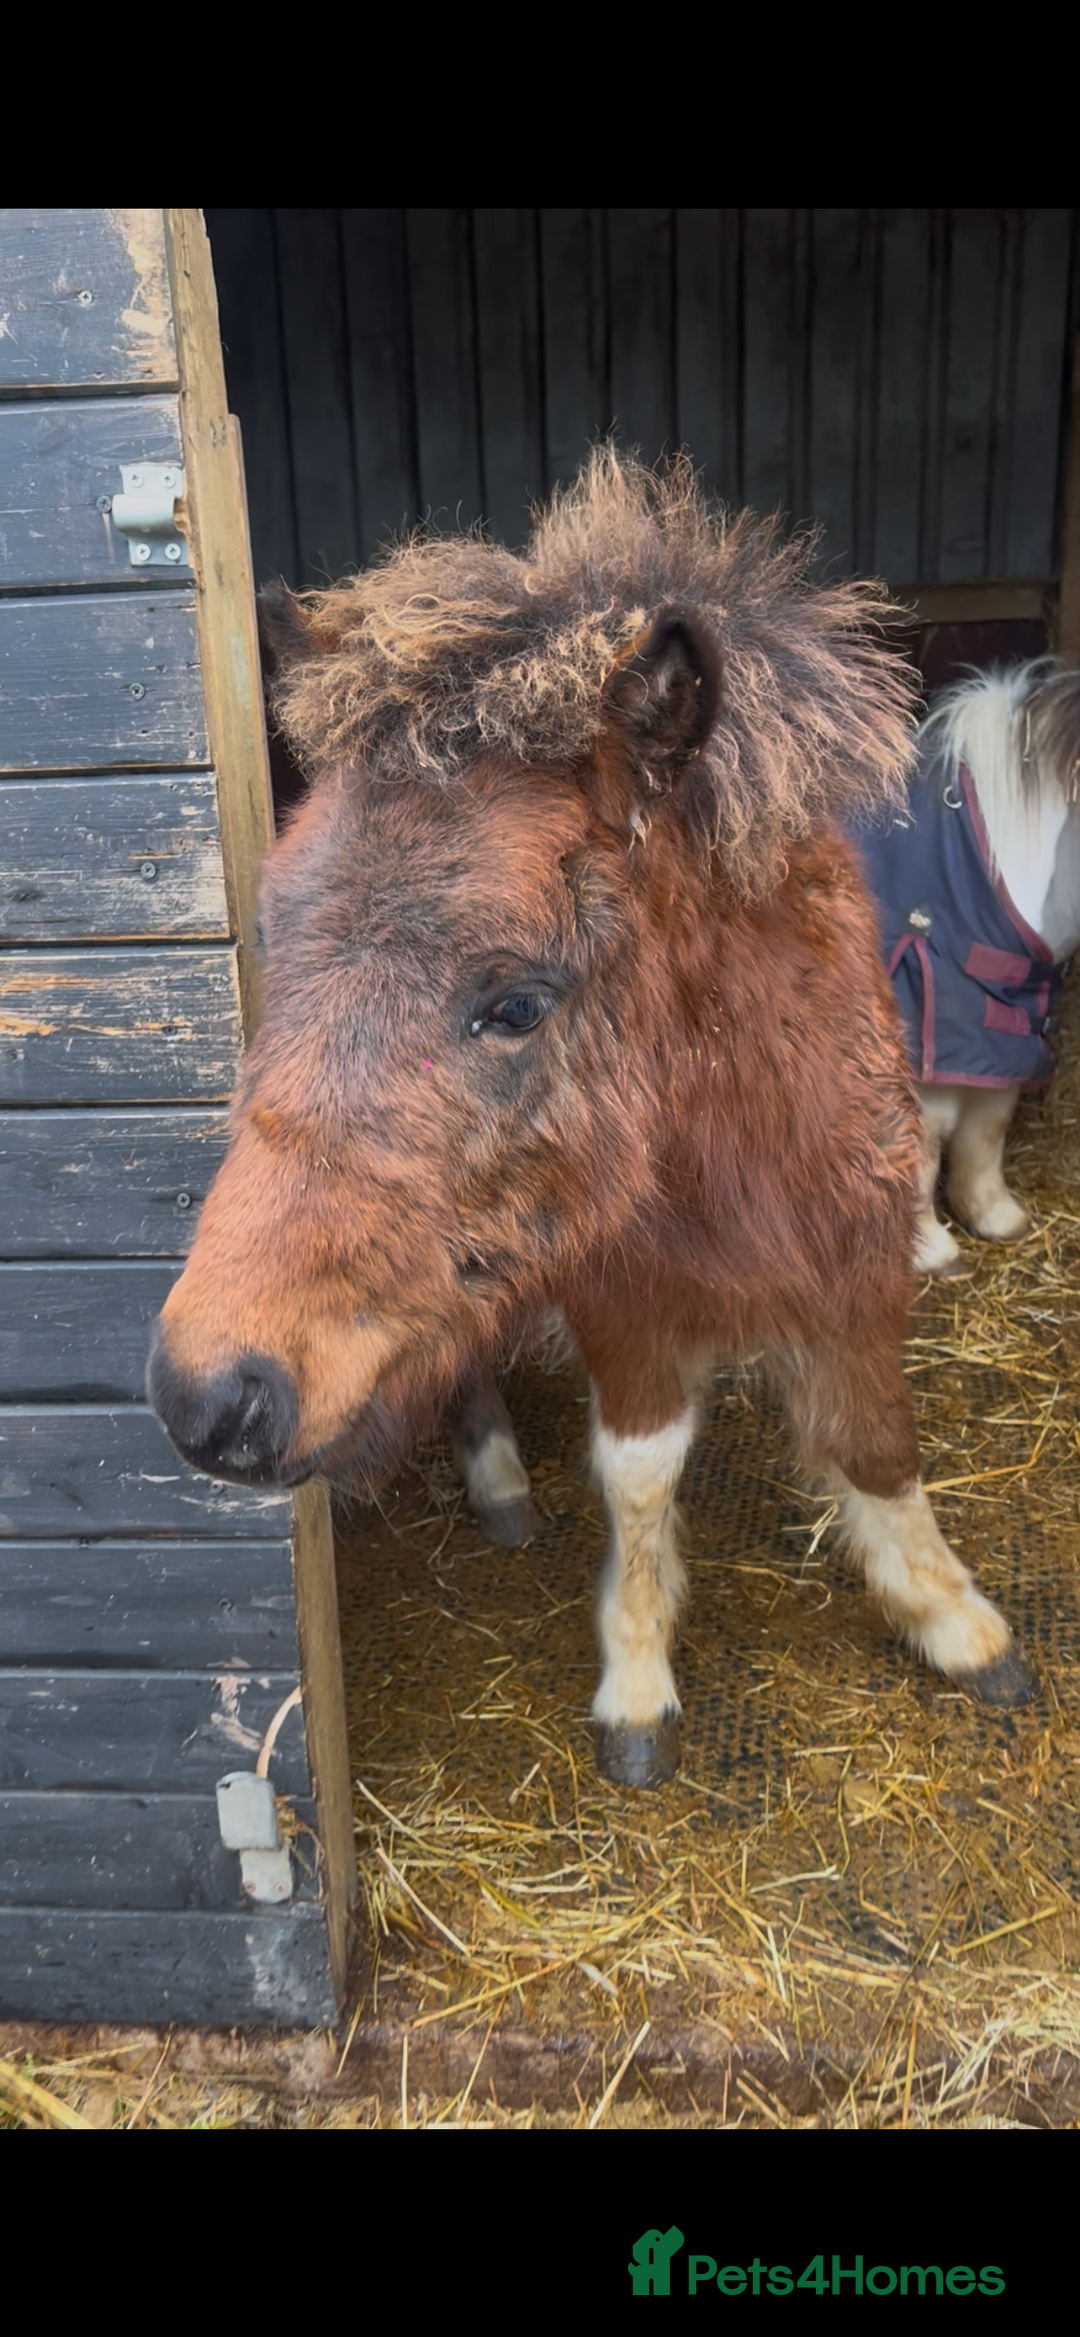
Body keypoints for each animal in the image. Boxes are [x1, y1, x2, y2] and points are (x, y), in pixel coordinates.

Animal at [147, 451, 1034, 1791]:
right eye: (272, 940)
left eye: (516, 1001)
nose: (206, 1395)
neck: (740, 1140)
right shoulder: (630, 1309)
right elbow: (642, 1477)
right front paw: (638, 1682)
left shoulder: (858, 1271)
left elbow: (880, 1440)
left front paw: (959, 1627)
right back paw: (503, 1487)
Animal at [853, 661, 1080, 1276]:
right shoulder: (927, 1027)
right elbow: (926, 1140)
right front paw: (930, 1251)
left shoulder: (1002, 1024)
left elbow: (989, 1126)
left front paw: (994, 1215)